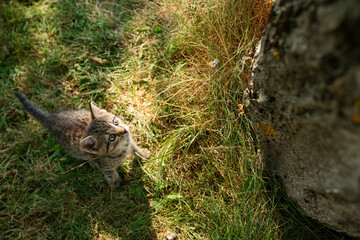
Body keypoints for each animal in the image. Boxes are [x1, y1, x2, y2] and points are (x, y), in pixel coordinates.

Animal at [14, 92, 150, 188]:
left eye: (115, 122)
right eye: (112, 137)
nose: (125, 131)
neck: (121, 148)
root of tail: (51, 119)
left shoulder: (129, 141)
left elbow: (135, 147)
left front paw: (142, 154)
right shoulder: (105, 166)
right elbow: (109, 174)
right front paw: (114, 182)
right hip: (76, 151)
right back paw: (92, 163)